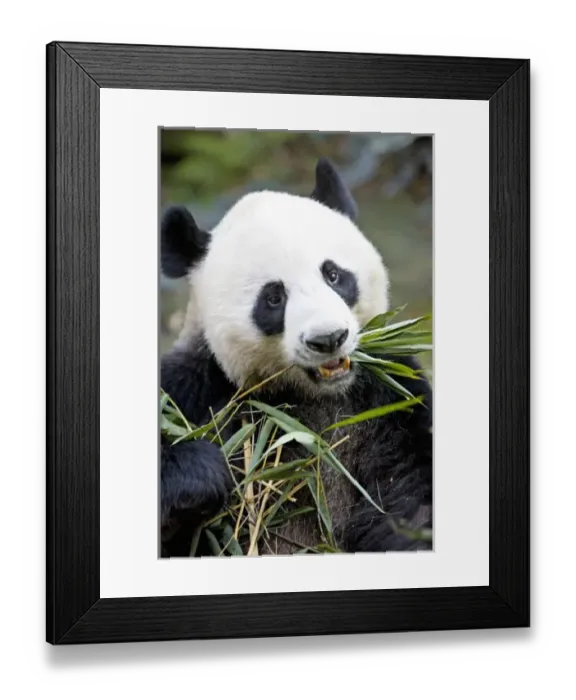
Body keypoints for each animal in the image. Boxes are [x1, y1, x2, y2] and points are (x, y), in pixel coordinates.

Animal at [160, 158, 432, 557]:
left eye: (333, 275)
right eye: (274, 298)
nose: (328, 339)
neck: (311, 398)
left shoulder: (392, 400)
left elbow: (413, 499)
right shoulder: (197, 387)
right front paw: (200, 473)